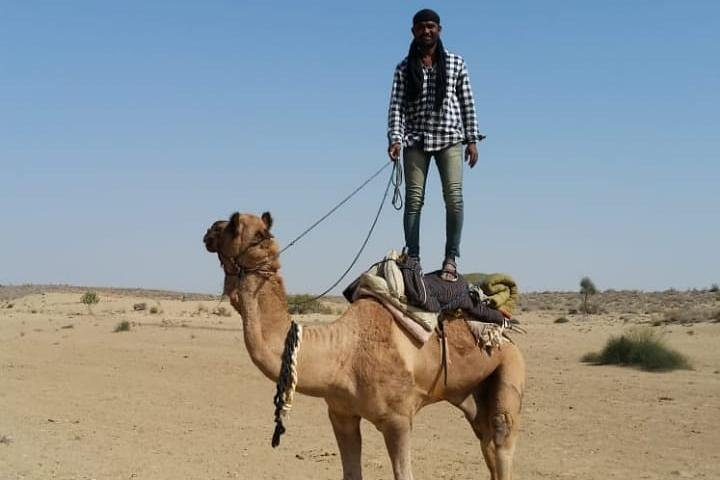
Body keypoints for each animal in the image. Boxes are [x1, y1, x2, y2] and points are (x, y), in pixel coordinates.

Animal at [203, 211, 526, 480]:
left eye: (233, 224)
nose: (210, 229)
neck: (342, 352)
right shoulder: (341, 414)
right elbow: (350, 473)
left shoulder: (398, 419)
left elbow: (404, 475)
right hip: (468, 391)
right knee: (484, 436)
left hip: (510, 364)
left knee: (501, 435)